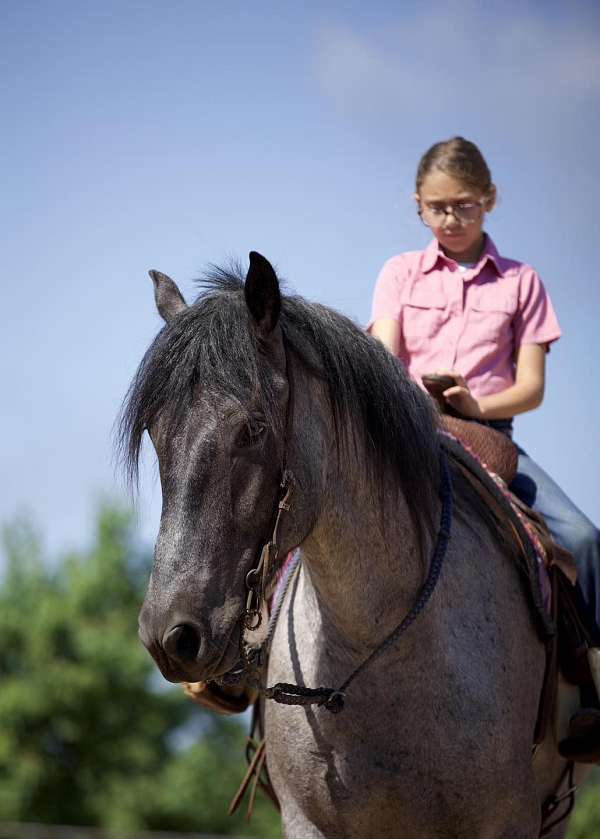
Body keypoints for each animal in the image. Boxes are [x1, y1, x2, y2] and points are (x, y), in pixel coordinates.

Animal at [120, 251, 584, 839]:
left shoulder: (510, 822)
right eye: (156, 434)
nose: (169, 636)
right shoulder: (308, 824)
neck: (377, 647)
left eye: (253, 429)